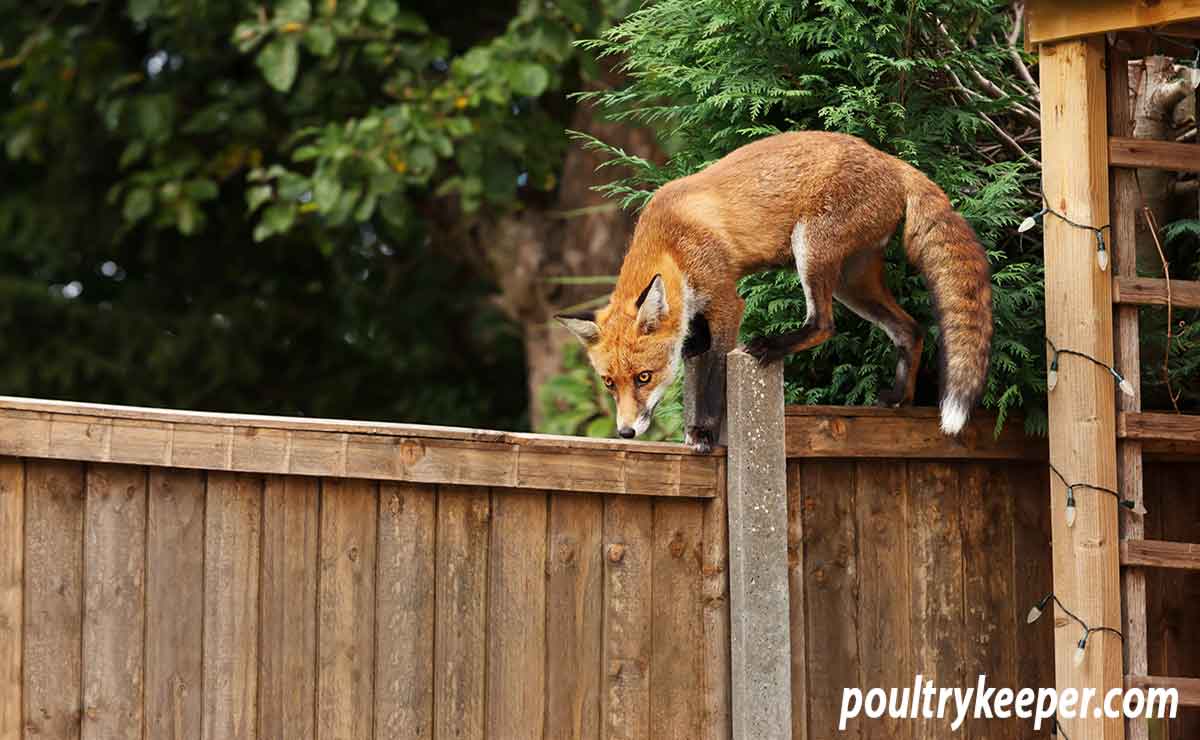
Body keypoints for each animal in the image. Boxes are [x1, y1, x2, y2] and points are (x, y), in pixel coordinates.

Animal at [552, 130, 993, 453]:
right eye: (609, 383)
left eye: (644, 377)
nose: (625, 432)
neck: (672, 244)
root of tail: (890, 159)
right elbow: (696, 348)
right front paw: (692, 353)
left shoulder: (728, 301)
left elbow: (713, 376)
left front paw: (704, 432)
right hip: (853, 283)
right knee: (910, 329)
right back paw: (900, 396)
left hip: (811, 250)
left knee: (824, 324)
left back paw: (772, 346)